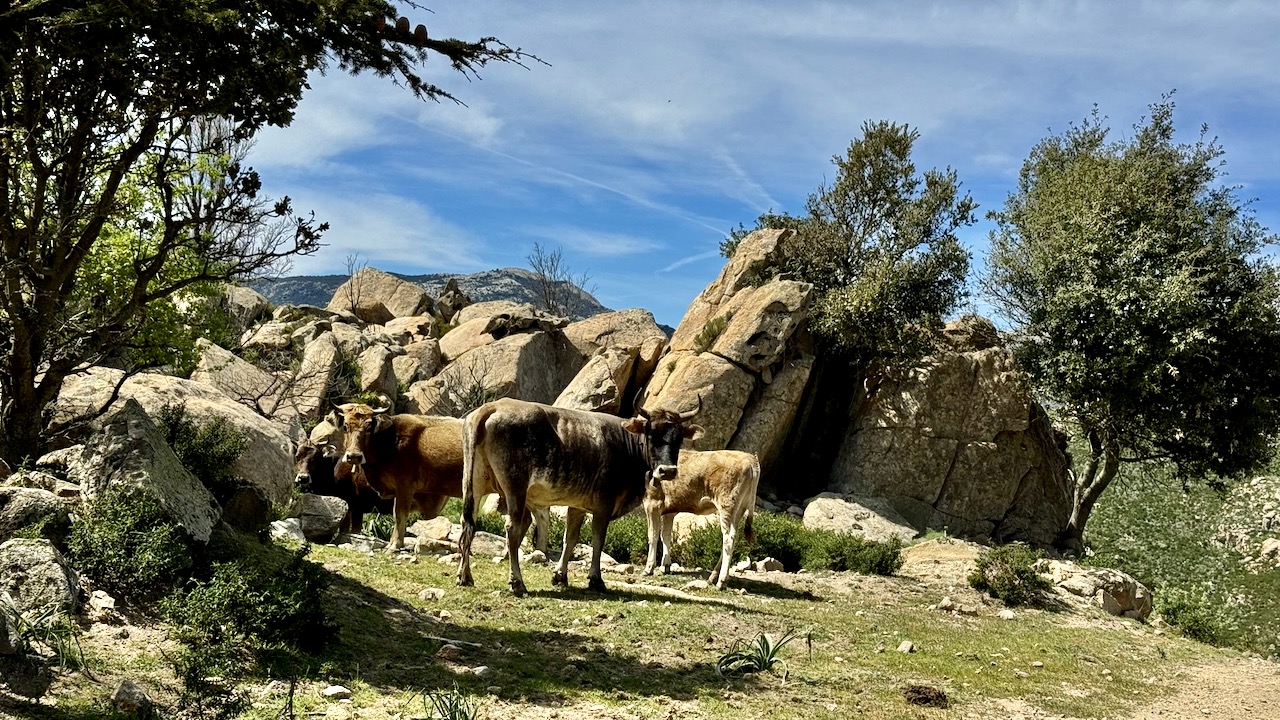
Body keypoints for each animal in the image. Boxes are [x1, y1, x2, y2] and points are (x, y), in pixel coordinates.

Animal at [458, 394, 706, 591]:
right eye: (651, 434)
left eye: (678, 438)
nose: (668, 470)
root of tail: (494, 406)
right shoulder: (604, 503)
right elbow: (598, 539)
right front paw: (596, 579)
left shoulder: (577, 505)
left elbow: (570, 538)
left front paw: (560, 576)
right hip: (515, 489)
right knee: (511, 528)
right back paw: (517, 582)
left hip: (473, 483)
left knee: (468, 524)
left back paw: (464, 576)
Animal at [640, 448, 757, 589]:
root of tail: (750, 460)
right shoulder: (669, 510)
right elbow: (666, 535)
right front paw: (666, 565)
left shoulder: (652, 504)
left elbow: (653, 536)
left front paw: (649, 568)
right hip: (740, 509)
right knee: (734, 537)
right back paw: (713, 576)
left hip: (727, 505)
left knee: (728, 539)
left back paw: (721, 581)